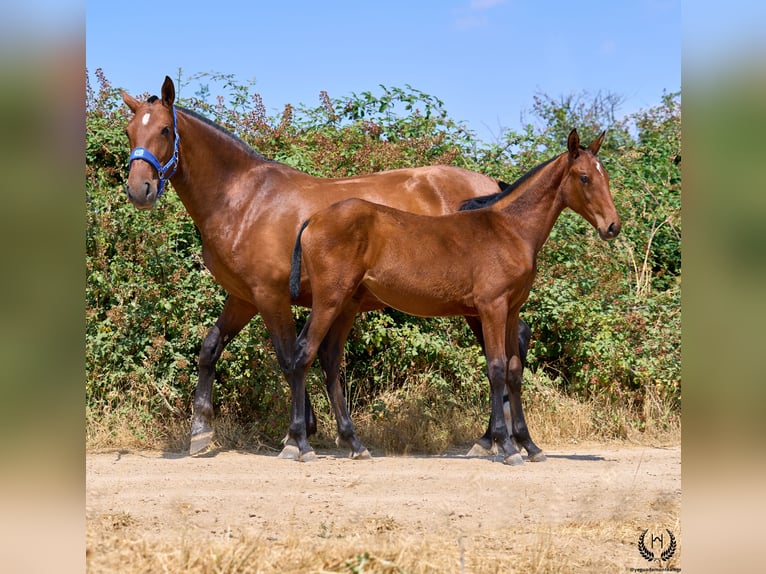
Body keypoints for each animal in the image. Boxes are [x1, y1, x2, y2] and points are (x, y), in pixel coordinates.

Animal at [121, 76, 533, 456]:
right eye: (129, 131)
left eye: (164, 129)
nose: (139, 190)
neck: (245, 200)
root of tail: (490, 185)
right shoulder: (243, 298)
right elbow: (210, 348)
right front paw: (201, 431)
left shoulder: (270, 295)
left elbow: (289, 358)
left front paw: (300, 434)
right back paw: (499, 439)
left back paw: (497, 439)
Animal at [288, 129, 620, 465]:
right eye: (584, 177)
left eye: (605, 176)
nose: (612, 226)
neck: (510, 230)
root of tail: (312, 220)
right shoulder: (492, 308)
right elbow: (496, 368)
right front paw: (508, 447)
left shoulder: (512, 309)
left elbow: (514, 371)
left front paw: (530, 445)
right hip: (329, 299)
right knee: (303, 353)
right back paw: (301, 443)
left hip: (348, 303)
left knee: (330, 357)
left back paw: (355, 444)